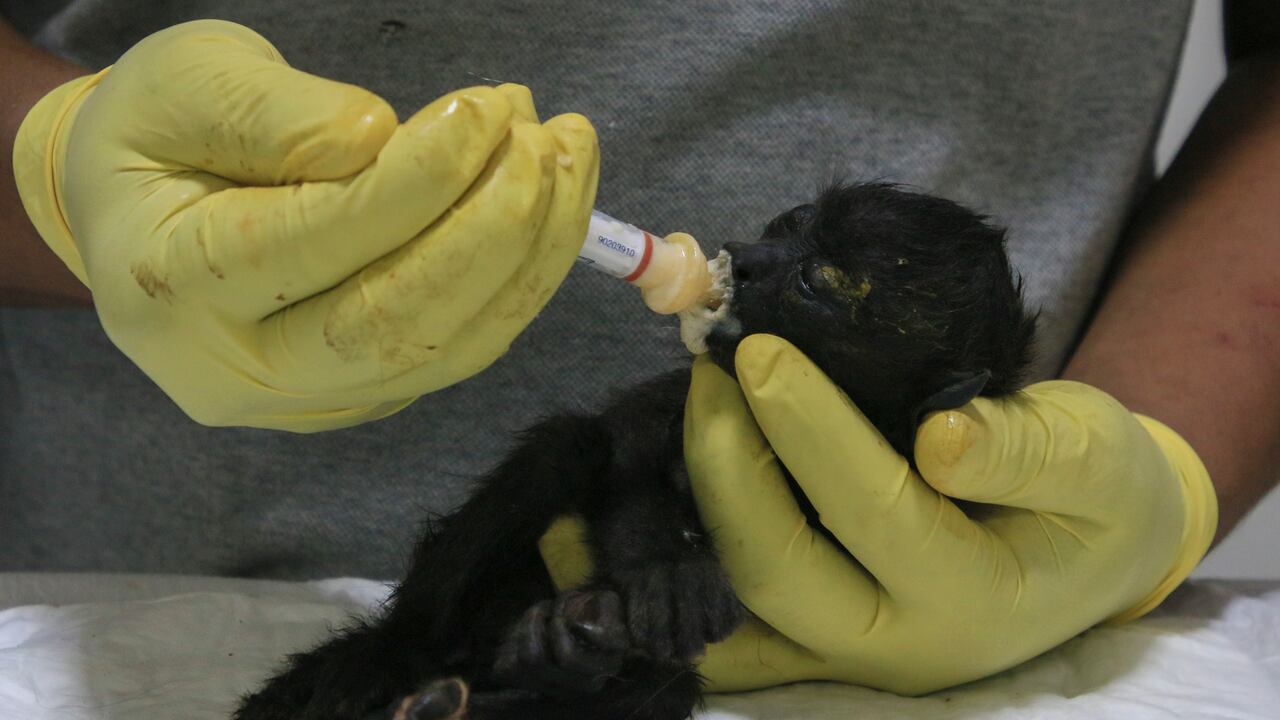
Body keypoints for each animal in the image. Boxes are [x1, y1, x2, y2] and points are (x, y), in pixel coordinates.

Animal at [233, 182, 1037, 720]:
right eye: (789, 224)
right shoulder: (687, 388)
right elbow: (624, 454)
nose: (746, 256)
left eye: (818, 279)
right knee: (563, 448)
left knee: (661, 688)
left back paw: (543, 661)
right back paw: (400, 660)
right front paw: (670, 568)